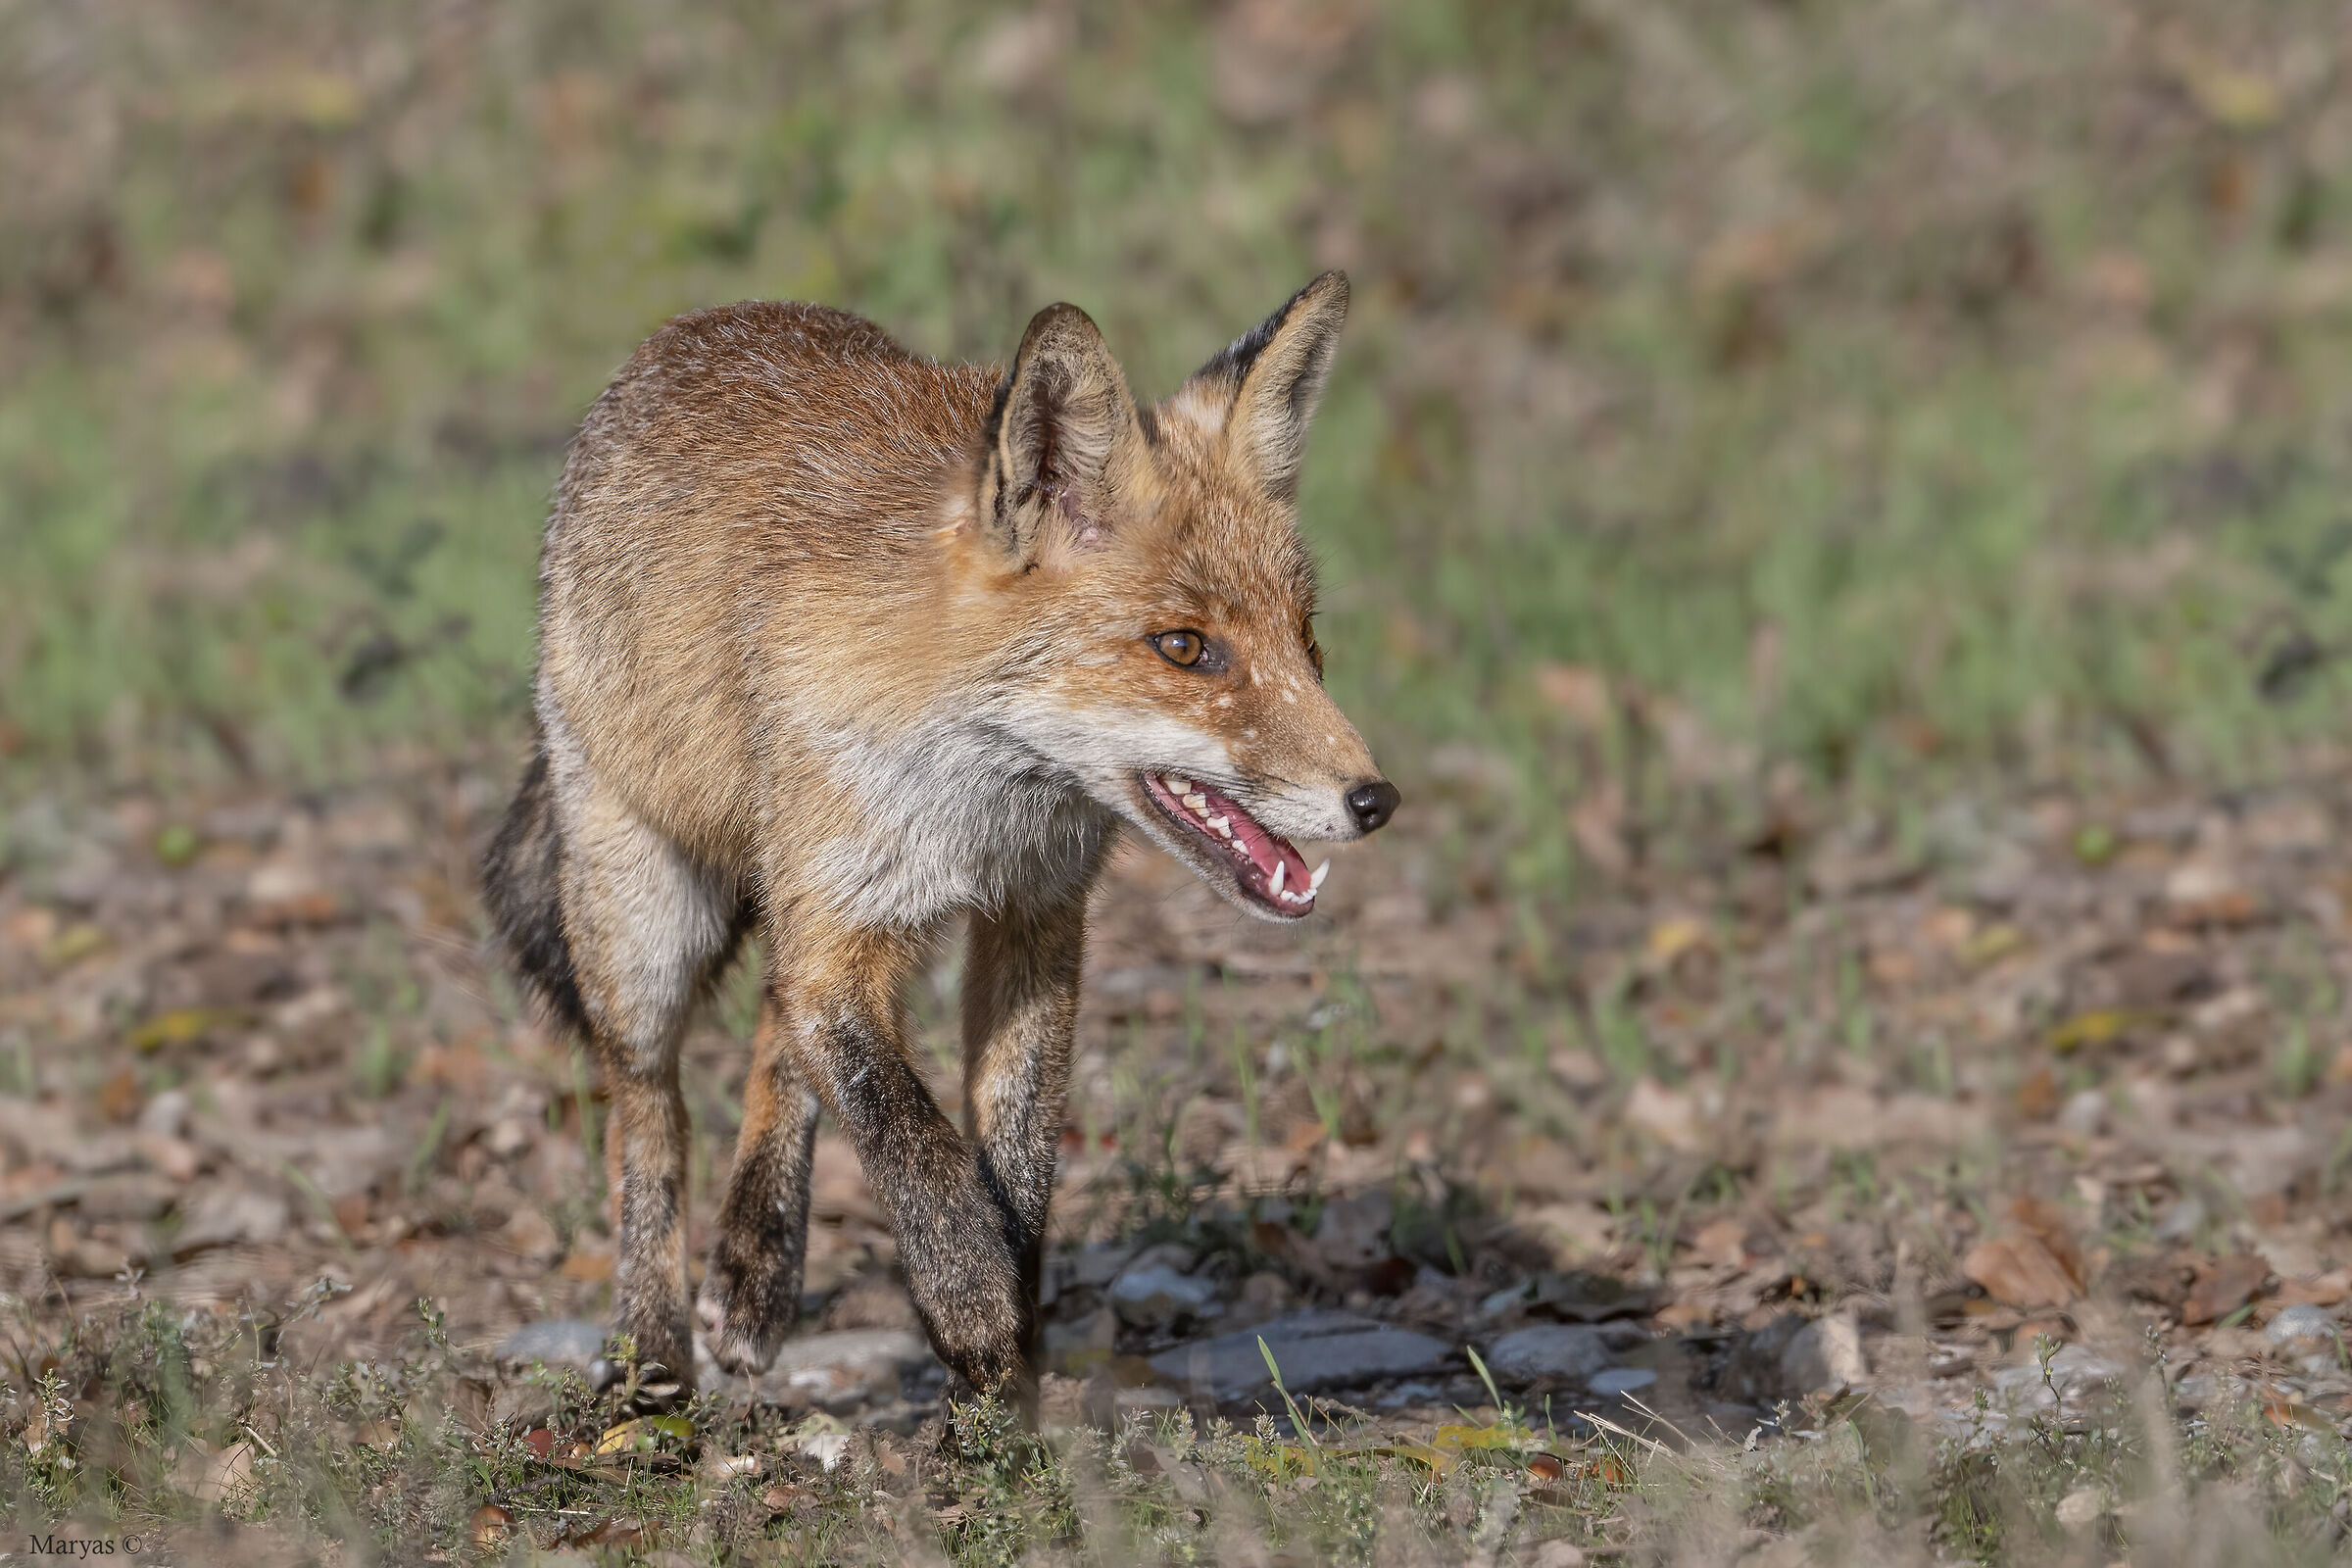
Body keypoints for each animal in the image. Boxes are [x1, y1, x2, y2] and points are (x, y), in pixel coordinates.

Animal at [481, 272, 1399, 1410]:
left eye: (1307, 642)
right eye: (1185, 647)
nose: (1374, 799)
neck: (982, 803)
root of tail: (704, 324)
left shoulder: (1033, 921)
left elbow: (1014, 1156)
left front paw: (1005, 1377)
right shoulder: (846, 922)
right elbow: (911, 1141)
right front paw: (976, 1314)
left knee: (775, 1028)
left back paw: (753, 1269)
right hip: (646, 923)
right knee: (649, 1112)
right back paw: (653, 1355)